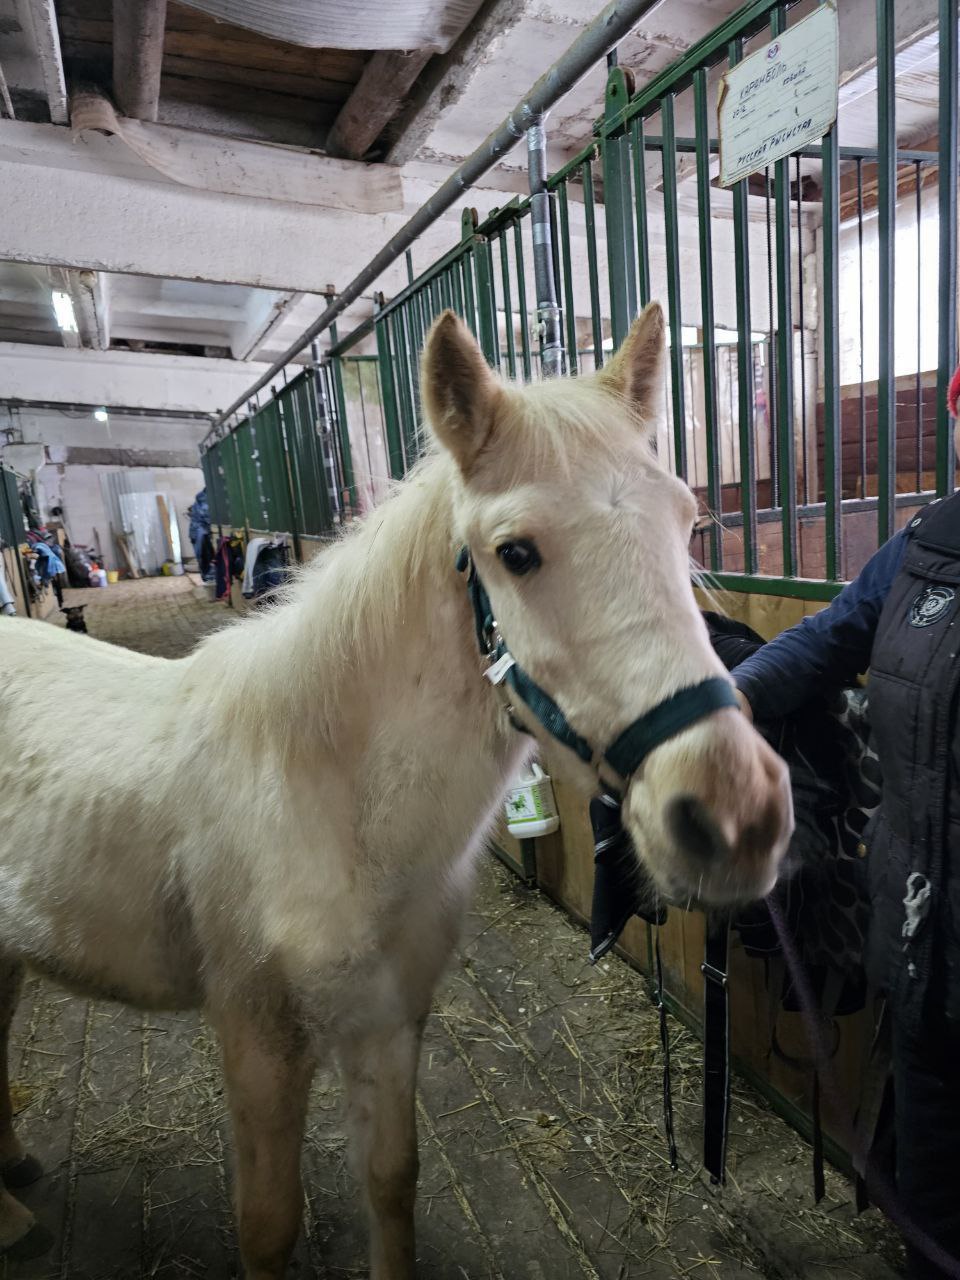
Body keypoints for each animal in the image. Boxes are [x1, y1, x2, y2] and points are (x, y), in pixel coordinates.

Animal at [0, 302, 798, 1280]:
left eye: (685, 521)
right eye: (515, 552)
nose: (736, 813)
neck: (327, 806)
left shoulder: (387, 1024)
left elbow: (391, 1183)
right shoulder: (256, 1043)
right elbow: (267, 1225)